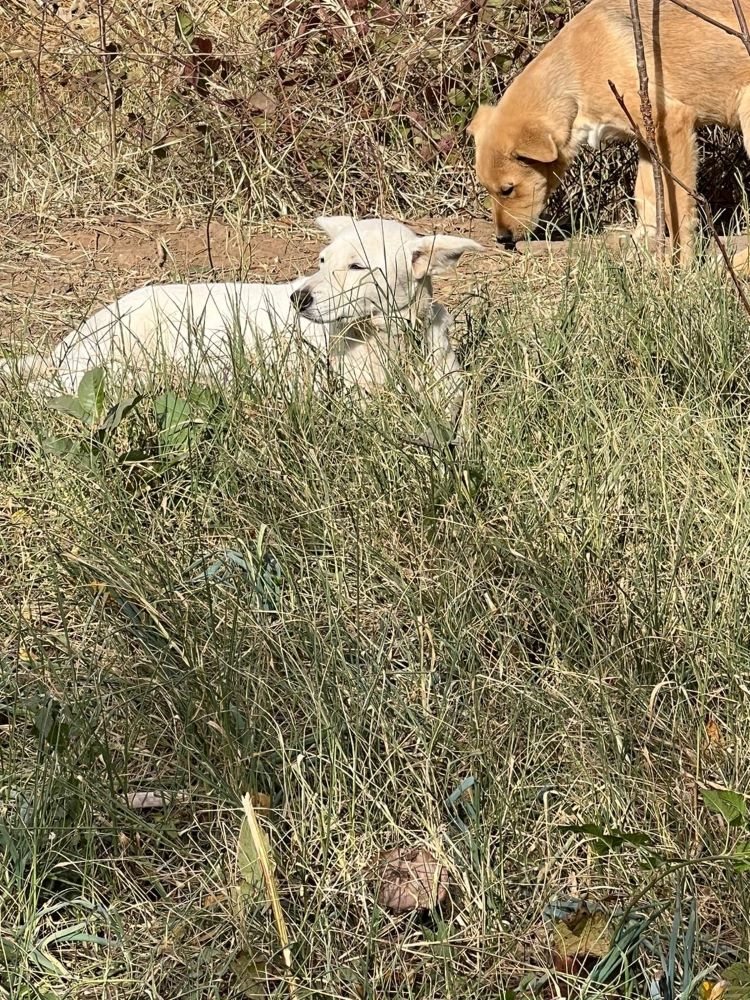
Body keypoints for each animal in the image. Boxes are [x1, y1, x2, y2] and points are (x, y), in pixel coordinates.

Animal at [1, 217, 482, 408]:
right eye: (322, 260)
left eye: (357, 266)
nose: (297, 299)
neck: (386, 339)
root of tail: (67, 346)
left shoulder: (451, 392)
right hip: (112, 363)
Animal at [470, 0, 750, 262]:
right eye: (487, 189)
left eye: (508, 189)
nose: (502, 239)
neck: (575, 76)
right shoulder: (647, 139)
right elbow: (645, 194)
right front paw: (641, 243)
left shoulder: (670, 123)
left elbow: (678, 208)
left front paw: (682, 264)